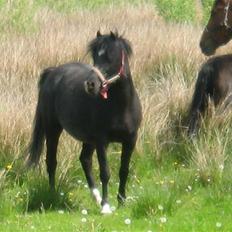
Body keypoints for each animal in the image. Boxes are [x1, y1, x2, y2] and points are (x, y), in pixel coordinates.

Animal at [26, 31, 142, 214]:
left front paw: (121, 201)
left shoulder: (130, 140)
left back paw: (96, 197)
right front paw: (106, 207)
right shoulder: (102, 141)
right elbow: (105, 172)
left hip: (88, 140)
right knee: (51, 162)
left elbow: (124, 170)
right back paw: (53, 194)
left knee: (85, 160)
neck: (121, 106)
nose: (91, 84)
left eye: (110, 56)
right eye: (95, 56)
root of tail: (53, 73)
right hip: (53, 129)